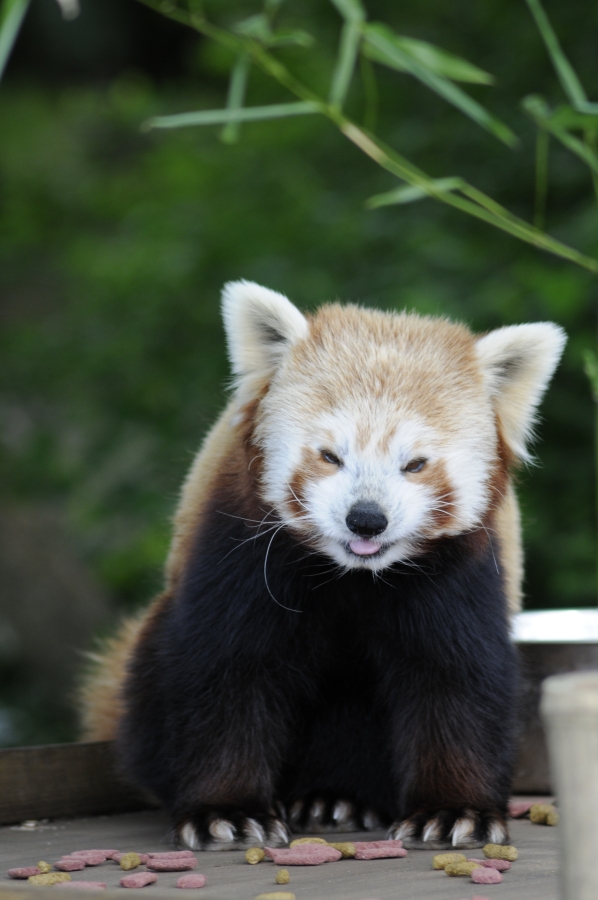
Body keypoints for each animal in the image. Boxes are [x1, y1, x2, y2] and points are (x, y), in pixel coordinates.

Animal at [80, 280, 566, 851]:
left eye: (415, 464)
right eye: (331, 456)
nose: (367, 519)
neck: (350, 577)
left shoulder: (459, 577)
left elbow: (455, 680)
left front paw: (453, 811)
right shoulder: (242, 555)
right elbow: (226, 672)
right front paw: (226, 811)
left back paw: (337, 797)